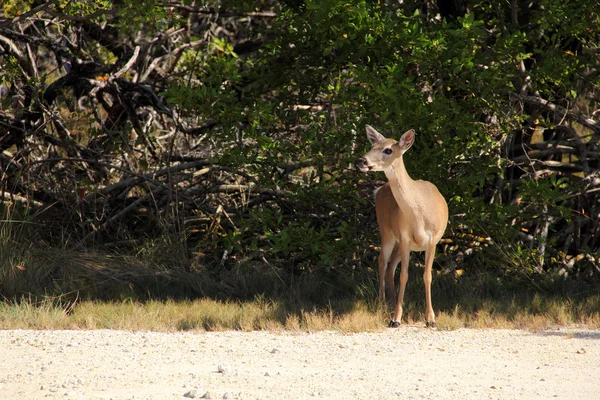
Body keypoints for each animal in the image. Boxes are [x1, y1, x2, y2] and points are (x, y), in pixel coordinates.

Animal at [354, 125, 448, 328]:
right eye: (372, 145)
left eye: (388, 150)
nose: (360, 161)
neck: (419, 215)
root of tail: (379, 189)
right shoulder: (405, 237)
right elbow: (404, 275)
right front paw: (396, 319)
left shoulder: (432, 240)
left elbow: (427, 275)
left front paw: (431, 319)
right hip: (386, 231)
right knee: (382, 261)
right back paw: (382, 301)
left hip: (397, 240)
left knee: (390, 265)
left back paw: (390, 298)